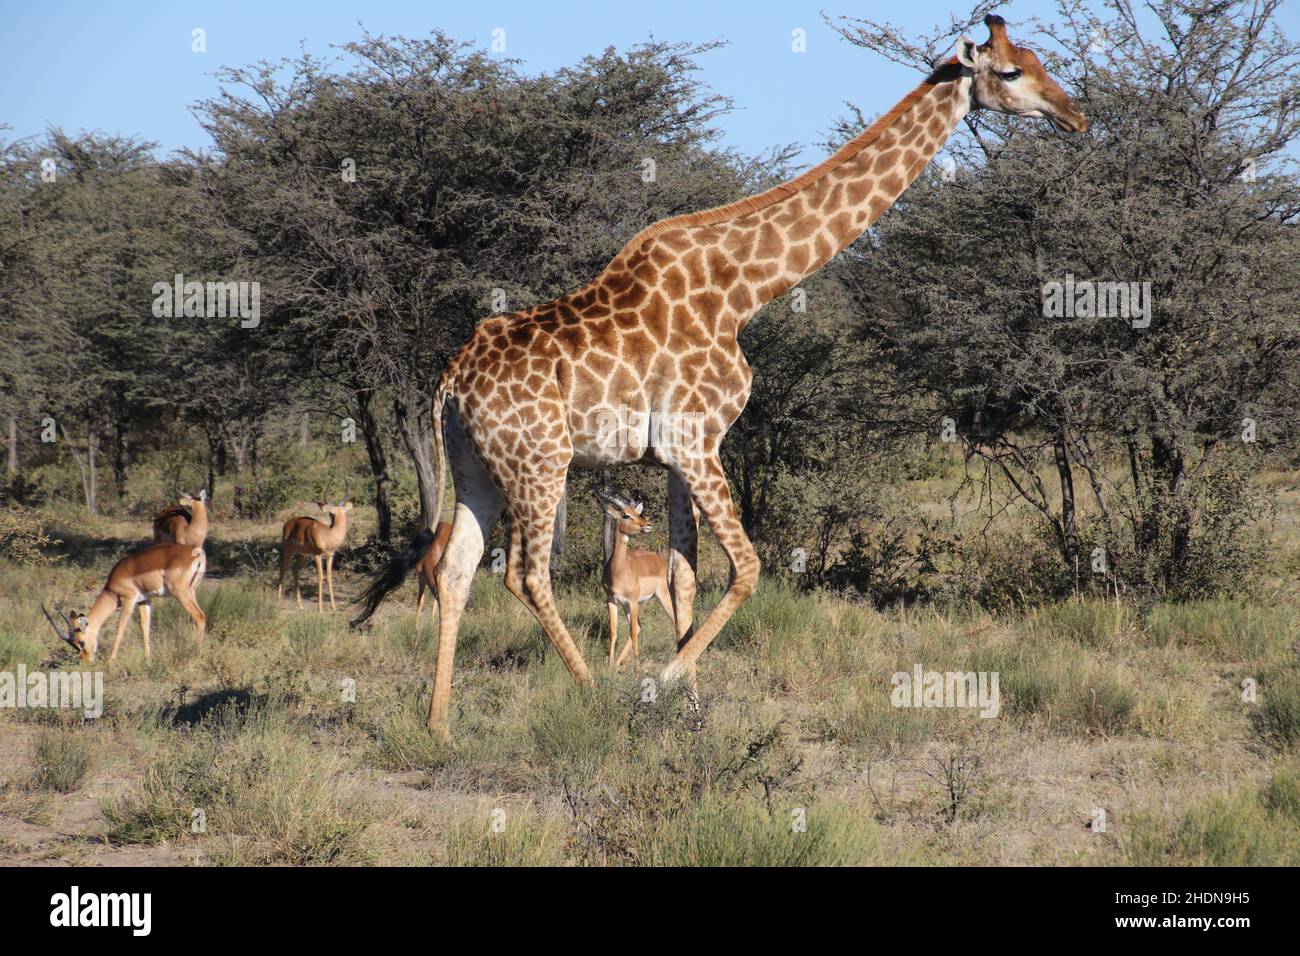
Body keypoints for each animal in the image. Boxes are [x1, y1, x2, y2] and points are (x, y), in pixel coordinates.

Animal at [423, 16, 1086, 735]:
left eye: (1039, 59)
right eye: (1012, 72)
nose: (1075, 114)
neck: (744, 290)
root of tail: (450, 384)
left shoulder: (676, 454)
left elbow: (684, 576)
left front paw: (692, 713)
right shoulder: (695, 440)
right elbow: (746, 569)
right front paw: (661, 687)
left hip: (479, 468)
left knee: (456, 569)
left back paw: (439, 726)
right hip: (540, 462)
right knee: (525, 574)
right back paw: (590, 695)